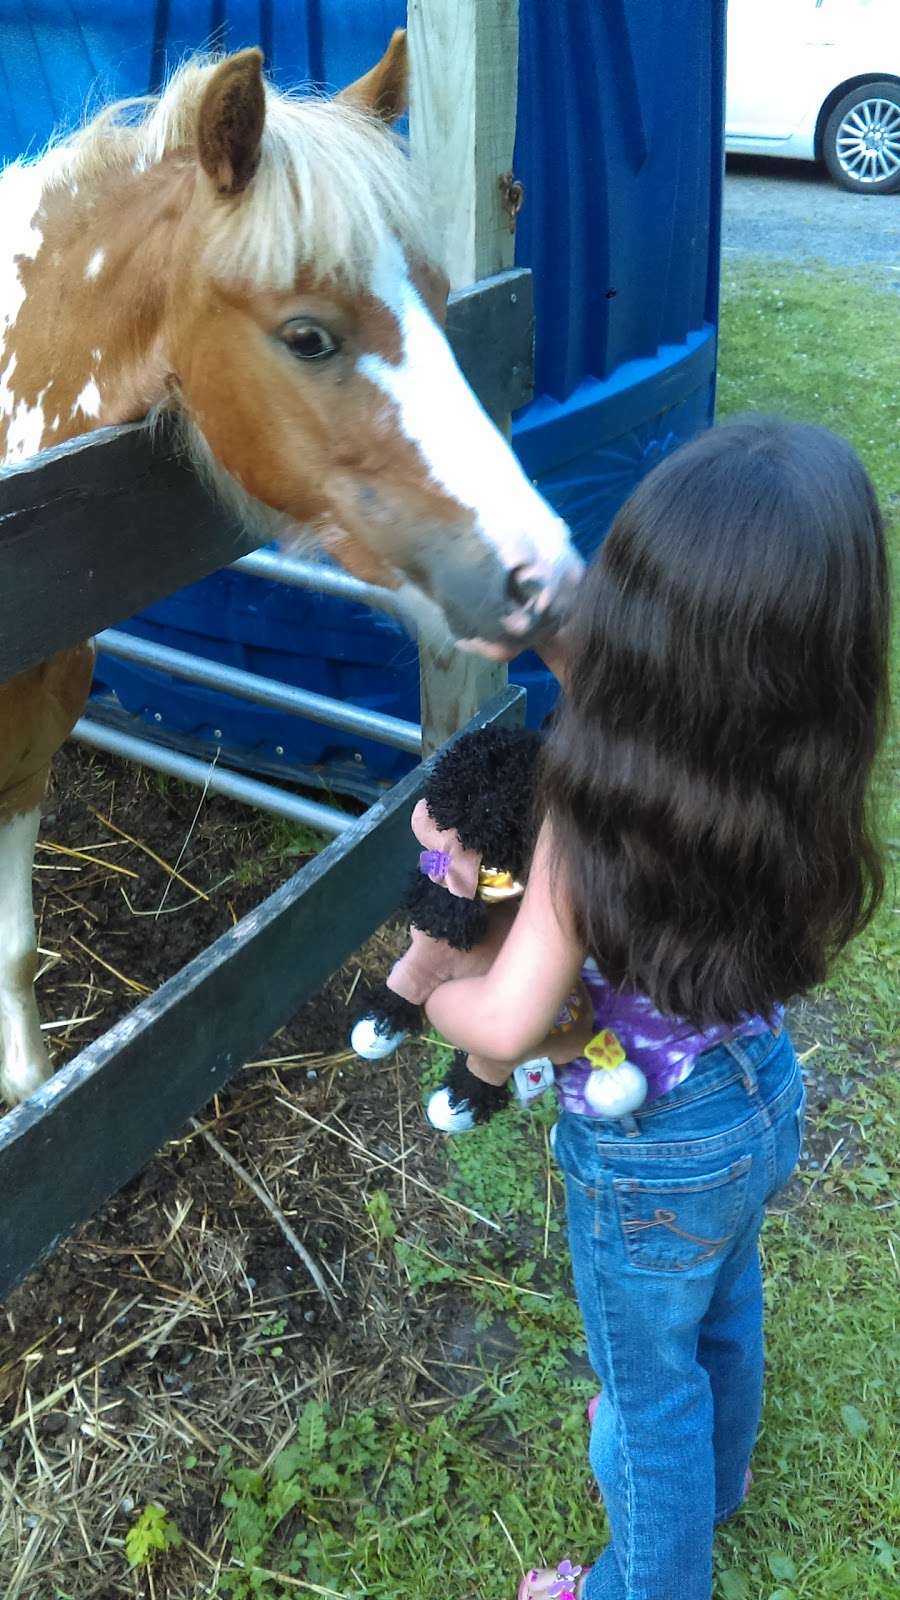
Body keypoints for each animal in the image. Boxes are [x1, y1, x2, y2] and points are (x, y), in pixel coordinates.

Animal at [0, 37, 576, 1113]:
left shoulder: (23, 761)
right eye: (308, 336)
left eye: (441, 303)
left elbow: (14, 947)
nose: (544, 575)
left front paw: (28, 1082)